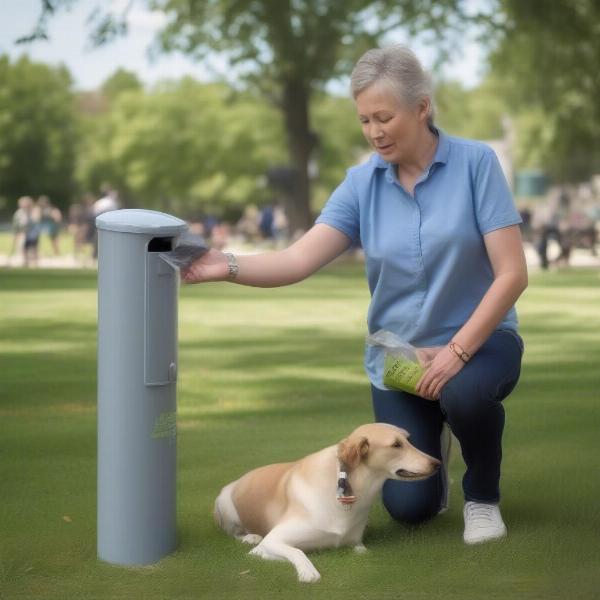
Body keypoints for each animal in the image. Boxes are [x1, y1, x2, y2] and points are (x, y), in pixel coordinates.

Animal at [213, 422, 438, 580]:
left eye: (409, 440)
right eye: (396, 445)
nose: (437, 463)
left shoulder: (356, 544)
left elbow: (361, 550)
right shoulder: (271, 543)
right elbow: (297, 551)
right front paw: (308, 573)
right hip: (224, 501)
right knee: (235, 533)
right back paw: (249, 536)